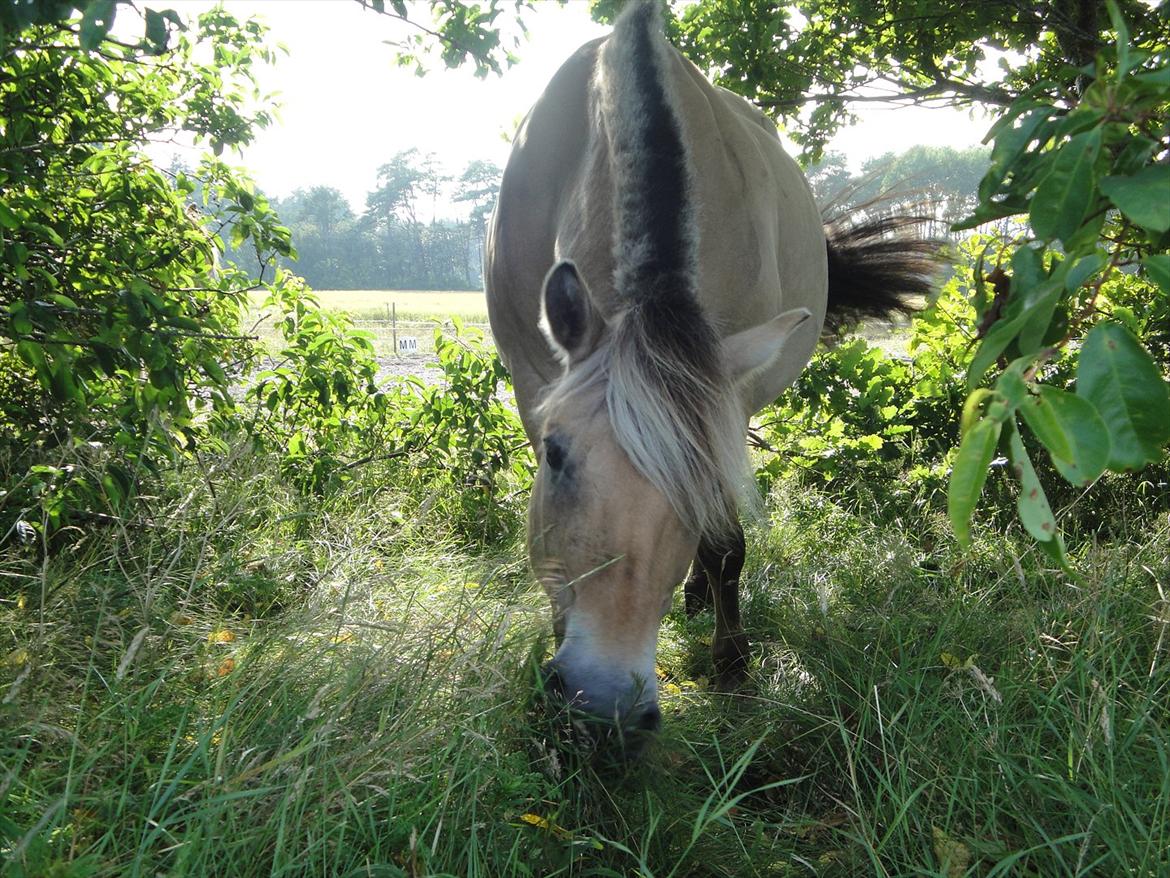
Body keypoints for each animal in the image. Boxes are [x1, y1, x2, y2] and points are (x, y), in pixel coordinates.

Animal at [482, 3, 931, 744]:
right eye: (555, 455)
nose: (604, 703)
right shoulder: (531, 380)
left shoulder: (730, 399)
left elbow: (724, 544)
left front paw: (731, 660)